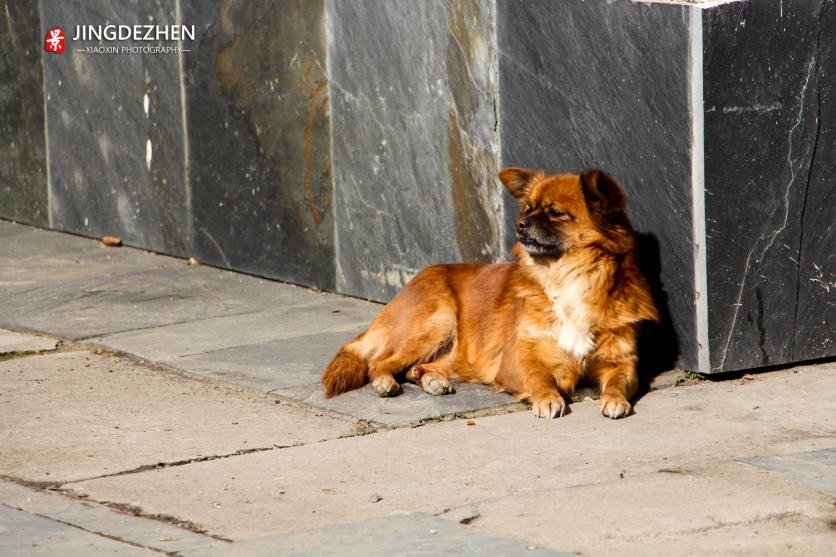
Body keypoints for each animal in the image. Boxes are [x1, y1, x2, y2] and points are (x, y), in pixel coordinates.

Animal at [324, 168, 656, 416]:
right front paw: (550, 396)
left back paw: (431, 380)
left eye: (555, 213)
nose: (520, 225)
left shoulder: (623, 362)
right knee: (379, 362)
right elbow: (542, 375)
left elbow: (618, 381)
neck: (565, 277)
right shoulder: (516, 360)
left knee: (412, 368)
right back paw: (385, 382)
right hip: (437, 319)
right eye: (527, 209)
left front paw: (614, 399)